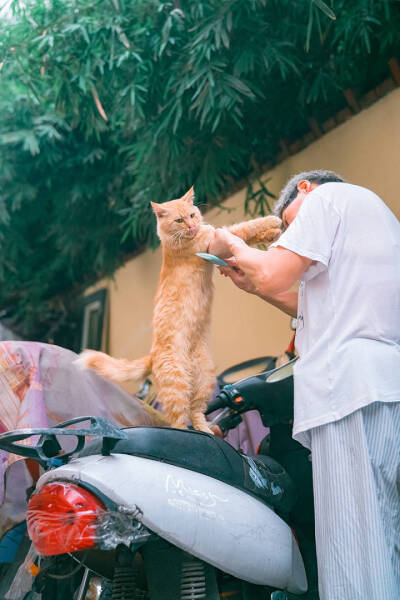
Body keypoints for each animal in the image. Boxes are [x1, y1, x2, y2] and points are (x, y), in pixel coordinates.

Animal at [79, 188, 282, 432]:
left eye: (192, 215)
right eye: (179, 220)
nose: (192, 226)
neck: (177, 243)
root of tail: (152, 355)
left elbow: (246, 237)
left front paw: (272, 233)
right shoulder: (214, 241)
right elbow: (245, 227)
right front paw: (272, 220)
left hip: (205, 379)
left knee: (196, 412)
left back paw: (209, 431)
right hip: (177, 387)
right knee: (179, 422)